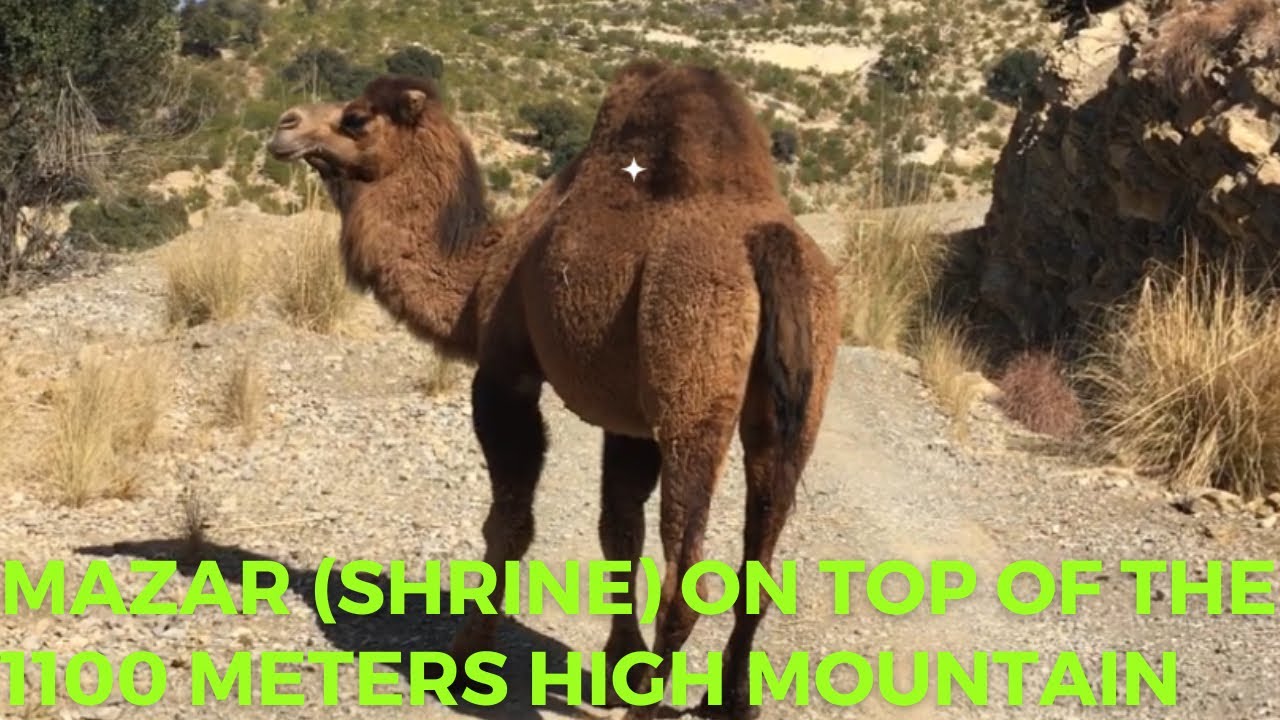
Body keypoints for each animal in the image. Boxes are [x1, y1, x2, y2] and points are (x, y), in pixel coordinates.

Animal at [268, 60, 841, 719]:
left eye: (356, 118)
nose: (285, 125)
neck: (479, 279)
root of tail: (765, 245)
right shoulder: (629, 419)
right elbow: (618, 530)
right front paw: (621, 668)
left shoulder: (506, 373)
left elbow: (510, 522)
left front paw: (465, 661)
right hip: (801, 398)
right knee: (760, 559)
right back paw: (729, 702)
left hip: (692, 380)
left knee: (686, 574)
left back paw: (651, 709)